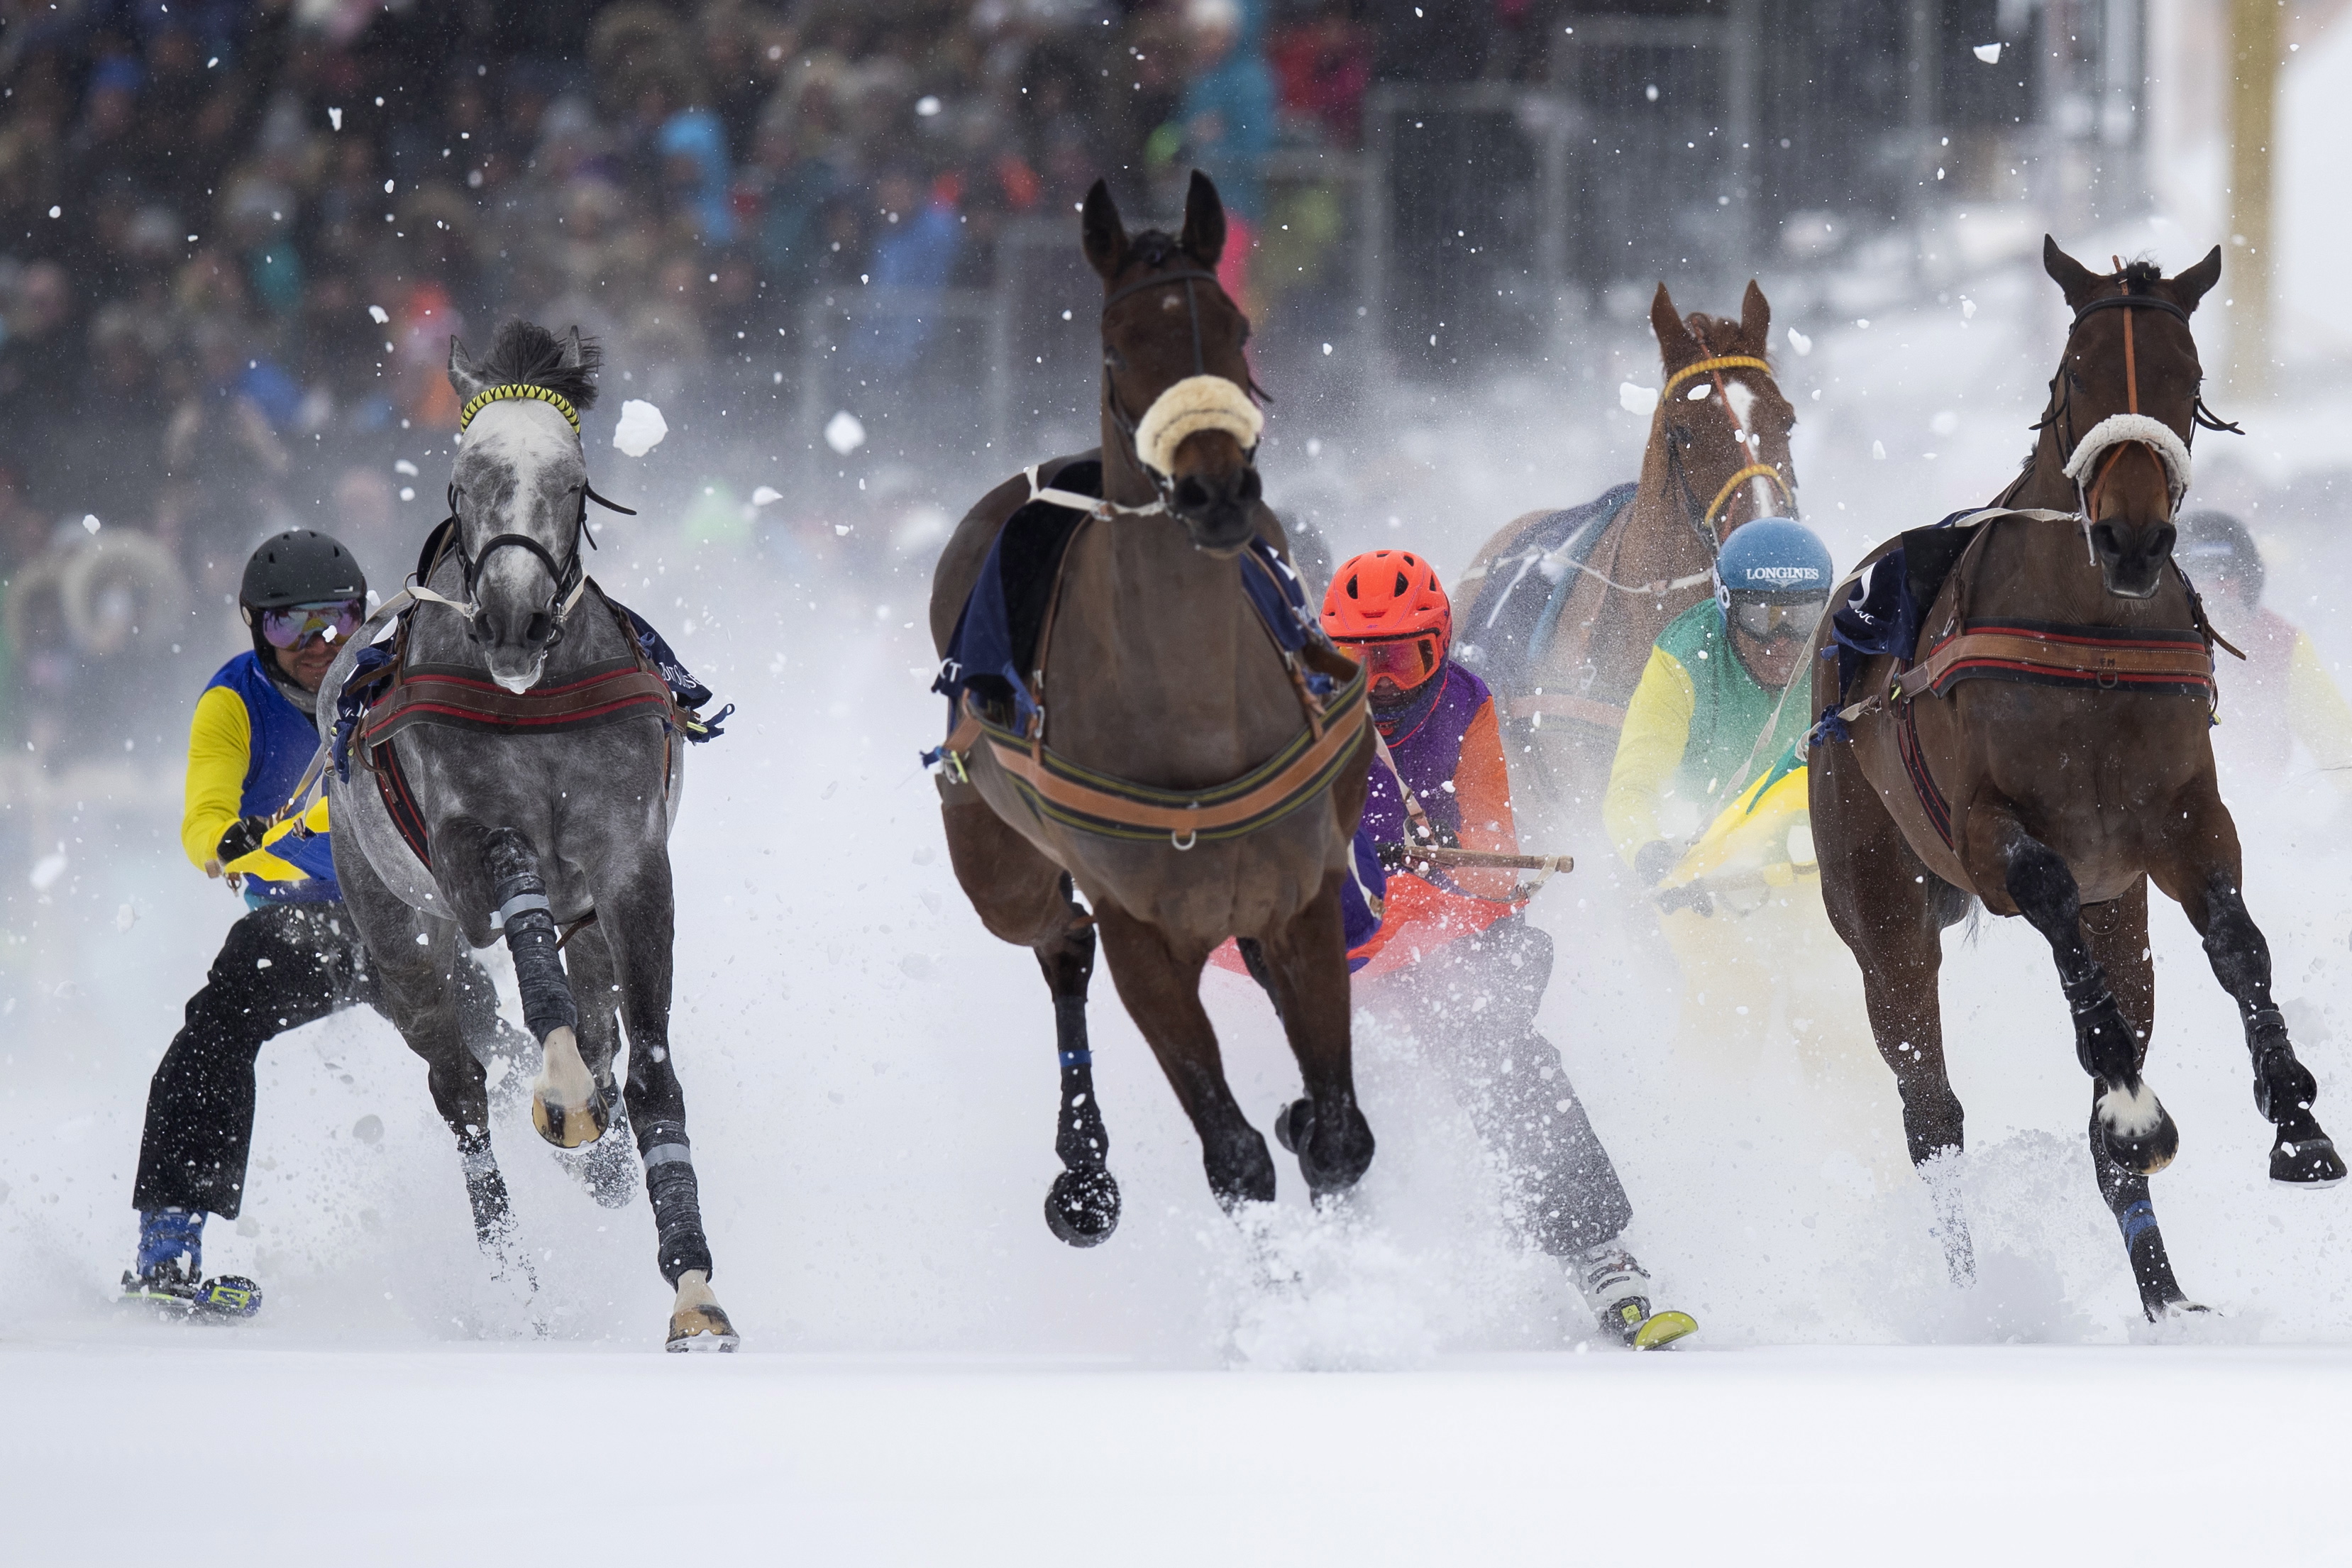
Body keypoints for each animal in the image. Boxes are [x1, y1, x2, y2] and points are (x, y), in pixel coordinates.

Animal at [317, 319, 729, 1354]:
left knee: (597, 1021)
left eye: (574, 481)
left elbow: (651, 1069)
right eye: (464, 478)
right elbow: (519, 918)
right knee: (460, 1089)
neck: (531, 699)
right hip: (392, 926)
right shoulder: (467, 852)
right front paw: (565, 1096)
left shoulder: (631, 866)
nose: (513, 616)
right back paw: (512, 1278)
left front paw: (693, 1287)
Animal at [922, 171, 1373, 1241]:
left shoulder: (1301, 894)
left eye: (1237, 327)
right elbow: (1234, 1155)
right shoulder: (1144, 935)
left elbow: (1336, 1133)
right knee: (1058, 941)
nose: (1217, 492)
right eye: (1117, 345)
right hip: (994, 861)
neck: (1198, 713)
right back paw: (1083, 1170)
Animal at [1806, 242, 2342, 1325]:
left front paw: (2295, 1113)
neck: (2091, 637)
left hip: (2120, 908)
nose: (2133, 539)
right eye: (2076, 375)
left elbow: (2237, 939)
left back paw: (2165, 1294)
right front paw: (2132, 1103)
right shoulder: (1983, 833)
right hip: (1874, 890)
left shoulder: (2179, 822)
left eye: (2187, 380)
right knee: (1929, 1104)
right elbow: (2045, 889)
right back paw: (1976, 1294)